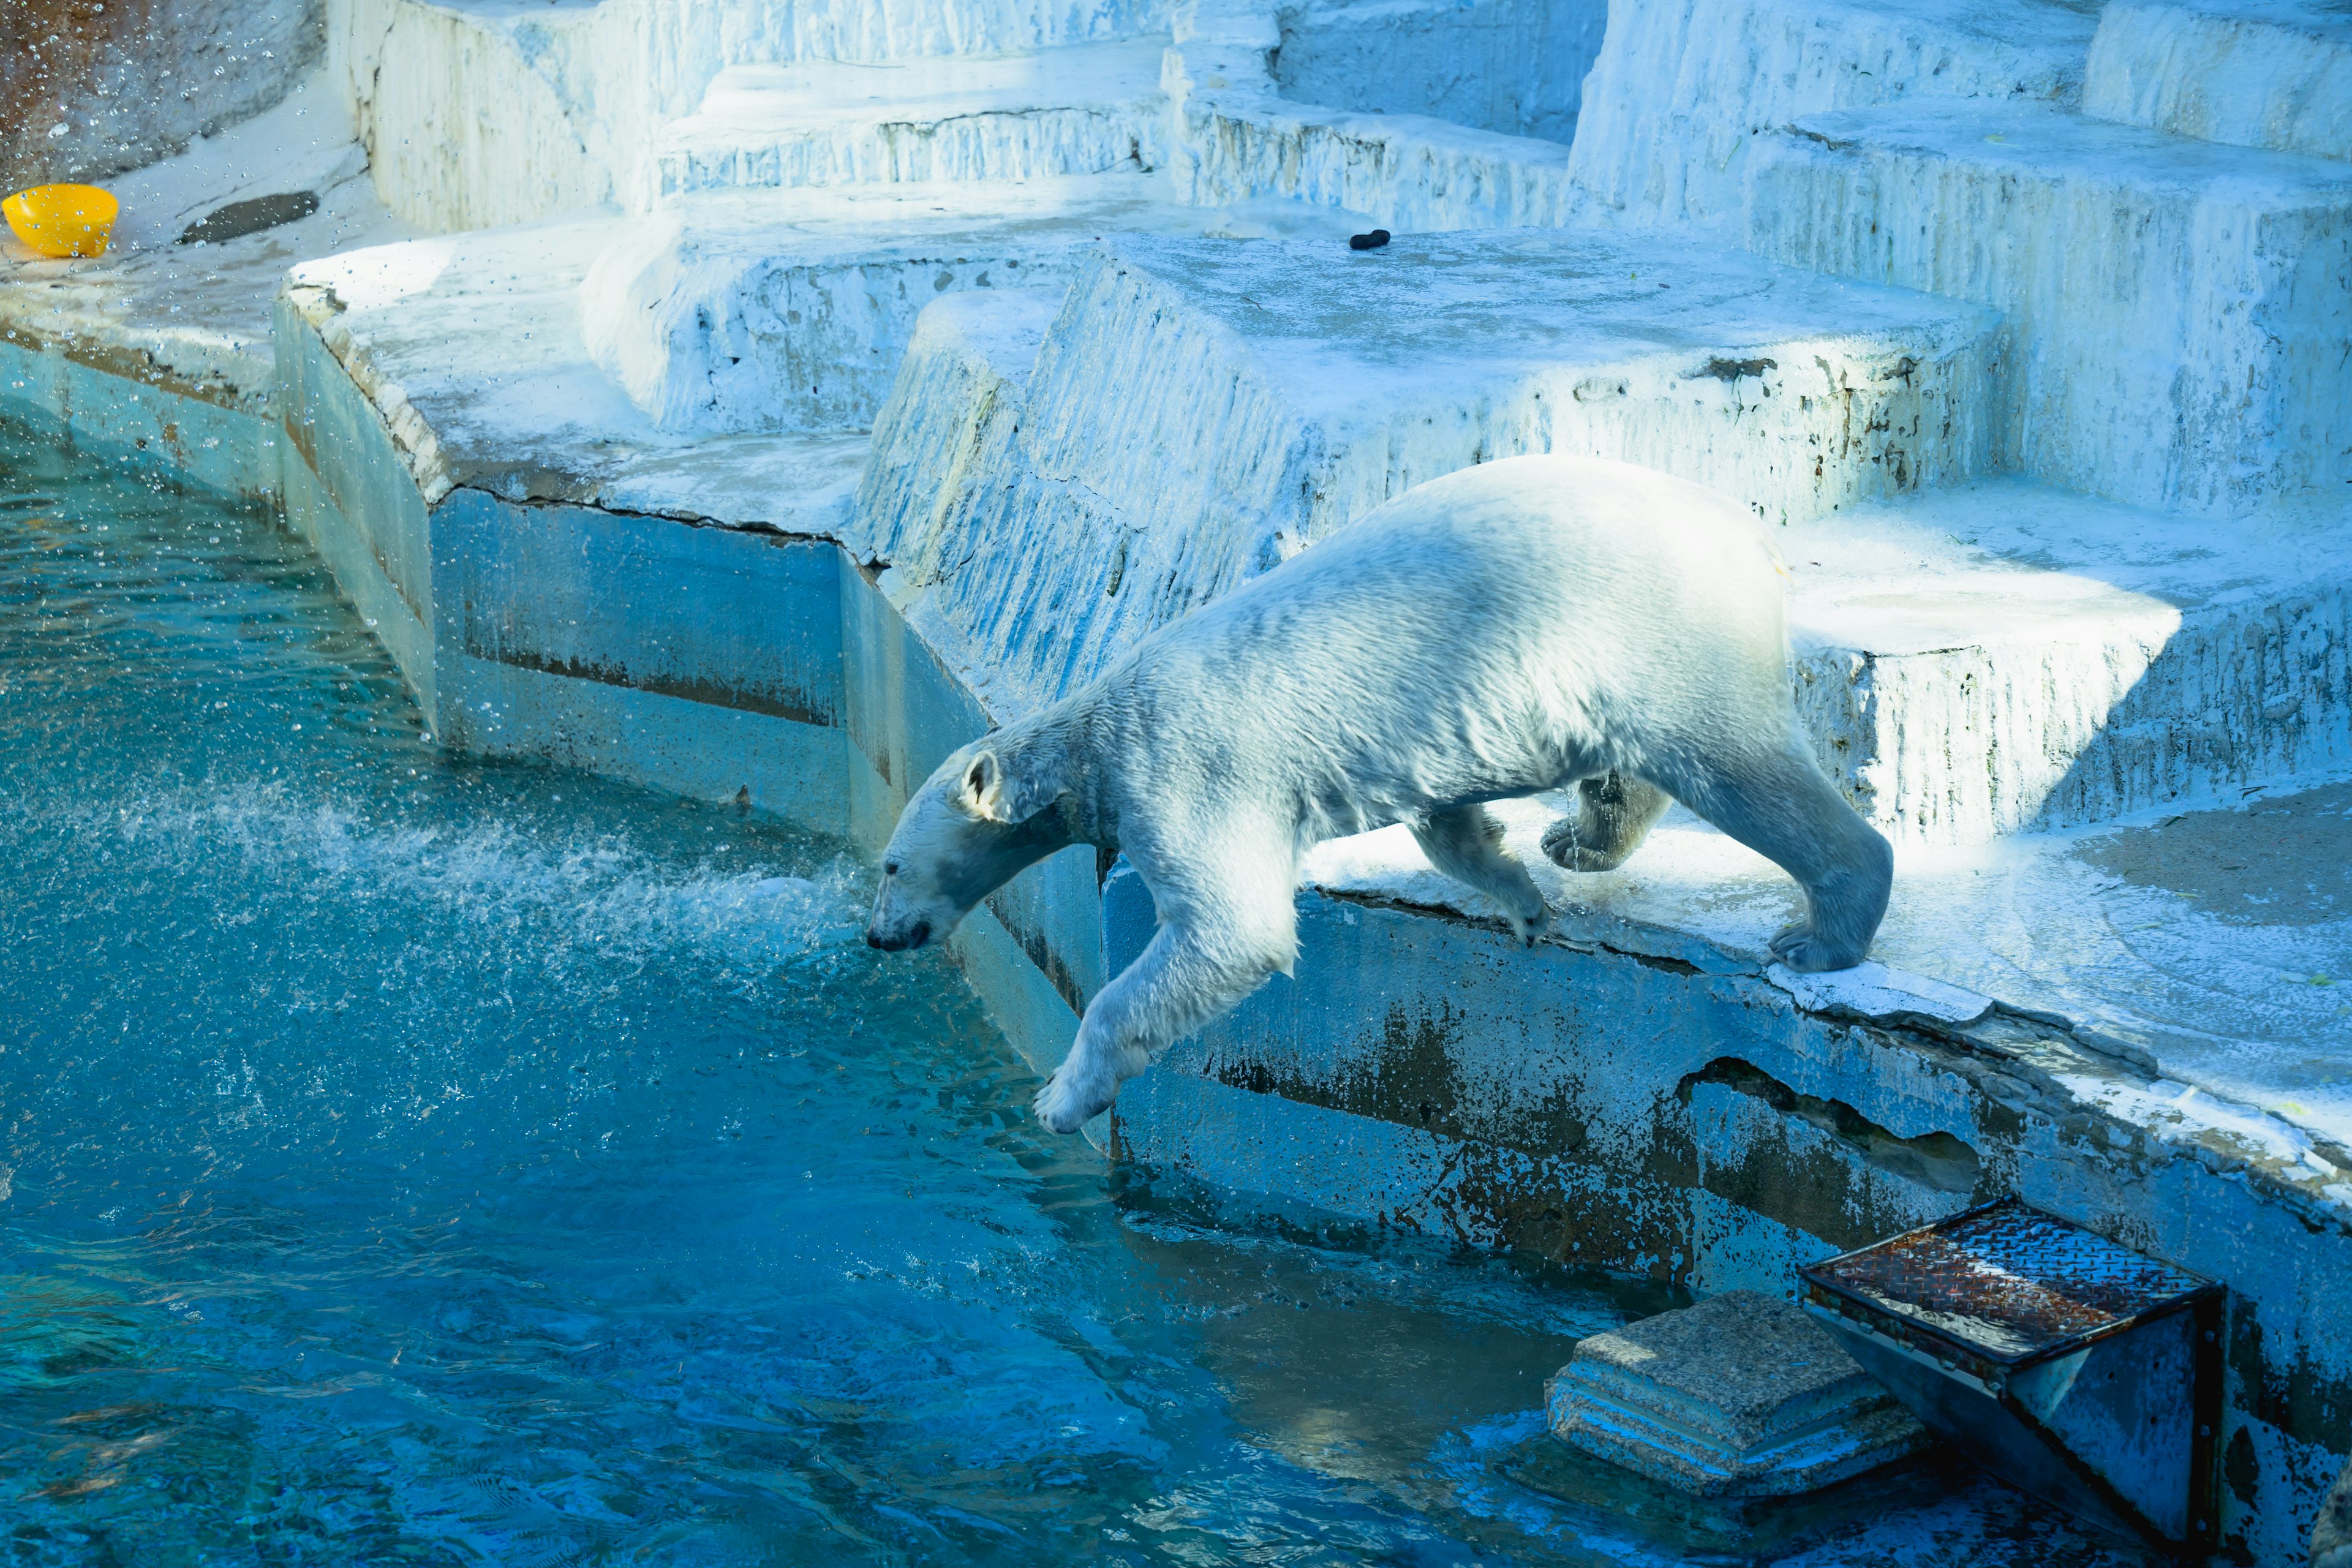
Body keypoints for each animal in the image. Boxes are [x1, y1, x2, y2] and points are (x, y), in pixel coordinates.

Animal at [865, 461, 1891, 1133]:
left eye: (889, 866)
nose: (876, 937)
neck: (1100, 732)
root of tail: (1747, 532)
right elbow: (1451, 829)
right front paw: (1524, 904)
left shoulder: (1188, 773)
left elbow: (1230, 933)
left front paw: (1060, 1099)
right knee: (1627, 761)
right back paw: (1579, 841)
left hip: (1655, 621)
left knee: (1739, 768)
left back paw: (1818, 933)